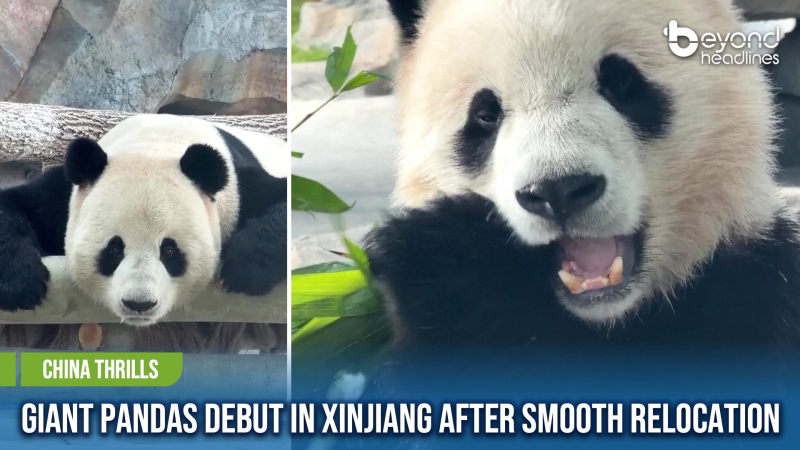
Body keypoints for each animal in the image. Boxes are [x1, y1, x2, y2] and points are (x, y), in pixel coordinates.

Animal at [0, 114, 287, 326]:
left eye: (169, 250)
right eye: (114, 249)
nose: (139, 304)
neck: (156, 144)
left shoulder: (237, 191)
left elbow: (283, 200)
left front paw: (246, 269)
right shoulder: (66, 197)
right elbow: (15, 205)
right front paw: (20, 284)